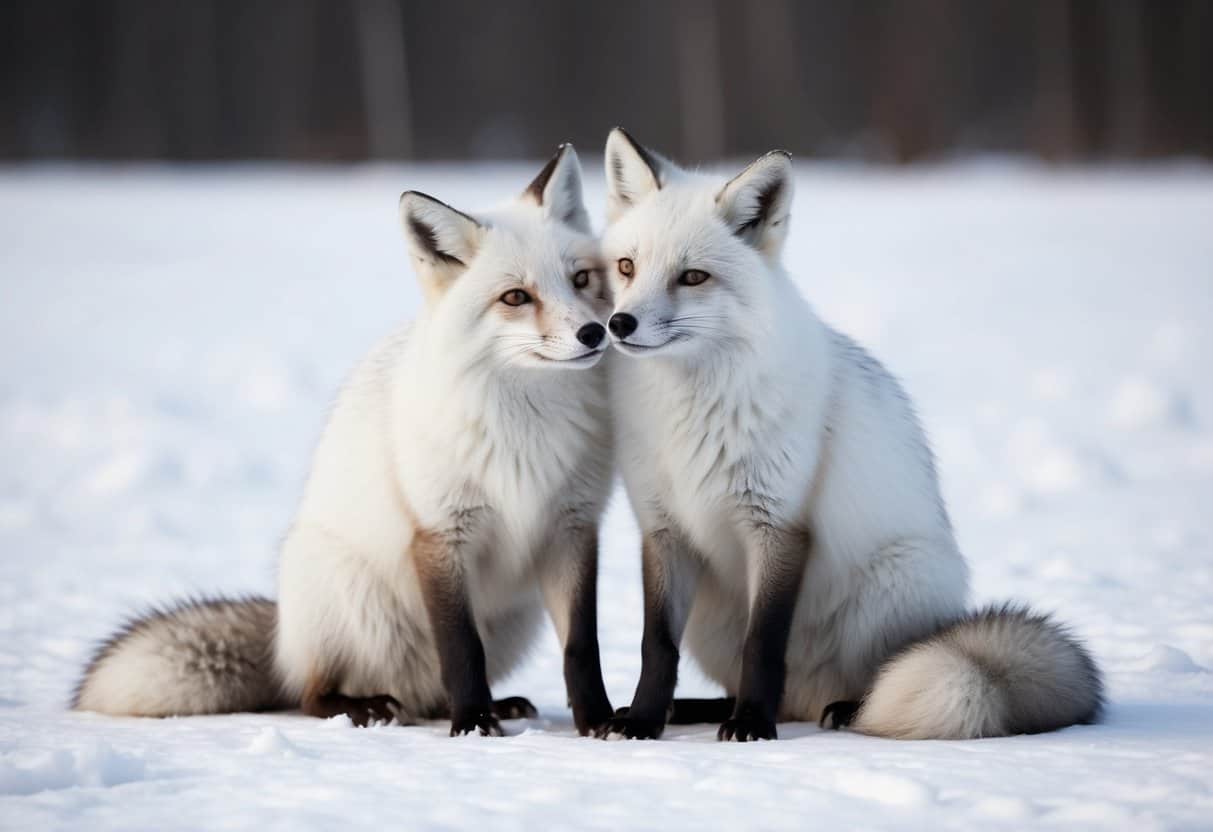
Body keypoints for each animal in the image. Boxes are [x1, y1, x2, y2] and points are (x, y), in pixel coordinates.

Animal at [73, 144, 617, 737]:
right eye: (516, 296)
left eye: (581, 279)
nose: (595, 333)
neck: (529, 428)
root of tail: (281, 639)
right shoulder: (440, 533)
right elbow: (460, 648)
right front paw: (472, 726)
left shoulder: (572, 527)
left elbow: (582, 648)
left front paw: (598, 721)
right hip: (351, 600)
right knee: (313, 694)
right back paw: (369, 707)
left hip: (516, 619)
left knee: (430, 692)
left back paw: (491, 704)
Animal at [594, 128, 1103, 742]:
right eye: (626, 266)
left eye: (692, 277)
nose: (620, 324)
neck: (686, 413)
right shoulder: (663, 528)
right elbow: (656, 646)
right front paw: (642, 720)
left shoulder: (780, 524)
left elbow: (764, 644)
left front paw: (752, 726)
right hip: (712, 623)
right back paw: (701, 708)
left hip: (891, 588)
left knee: (866, 680)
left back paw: (835, 710)